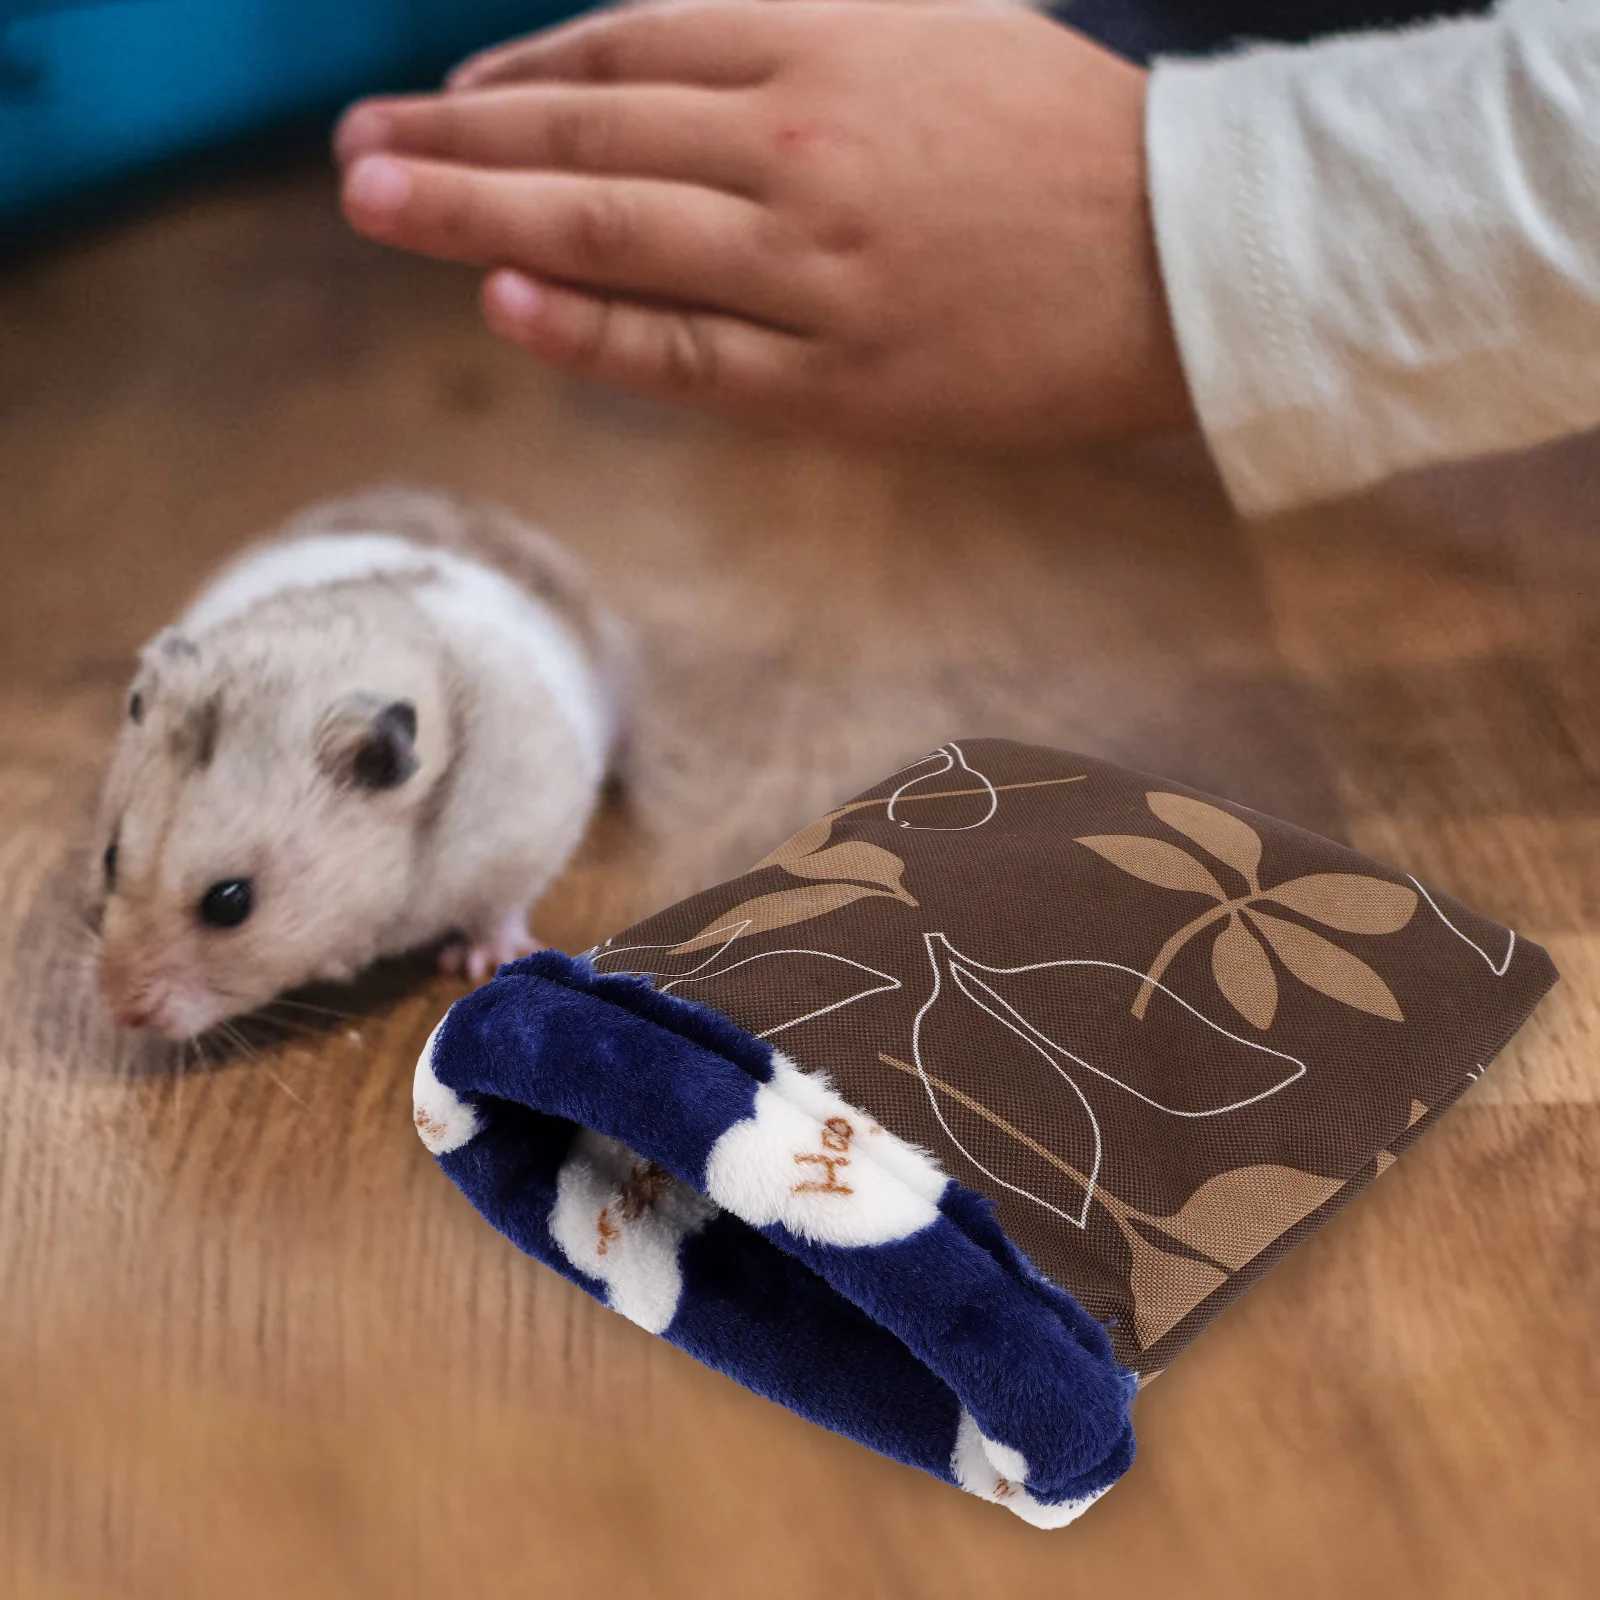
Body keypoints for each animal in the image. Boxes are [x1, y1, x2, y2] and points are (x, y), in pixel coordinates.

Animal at [90, 485, 629, 1039]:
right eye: (110, 858)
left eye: (230, 902)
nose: (120, 1011)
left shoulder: (526, 839)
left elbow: (499, 909)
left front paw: (474, 963)